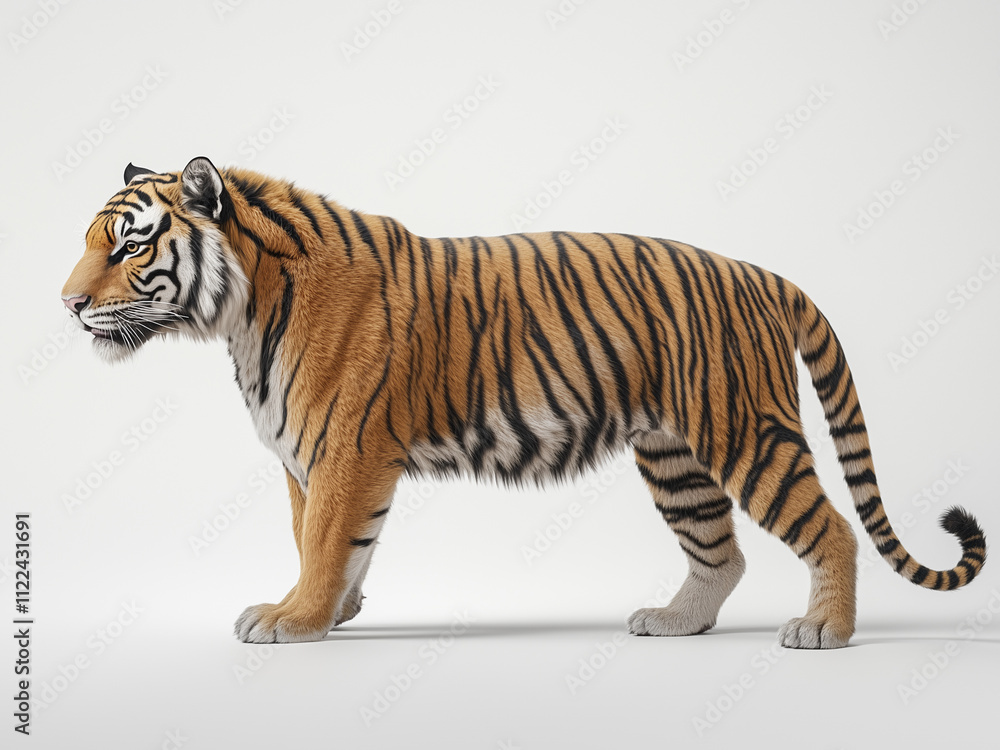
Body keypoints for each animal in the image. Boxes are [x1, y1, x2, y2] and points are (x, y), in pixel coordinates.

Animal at [61, 156, 987, 648]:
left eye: (129, 245)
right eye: (89, 241)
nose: (66, 305)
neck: (242, 312)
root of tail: (763, 274)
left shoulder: (345, 451)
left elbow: (324, 540)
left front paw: (295, 620)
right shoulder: (305, 459)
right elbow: (324, 541)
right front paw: (333, 611)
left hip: (745, 434)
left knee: (828, 526)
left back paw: (824, 630)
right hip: (674, 456)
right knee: (720, 554)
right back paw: (673, 622)